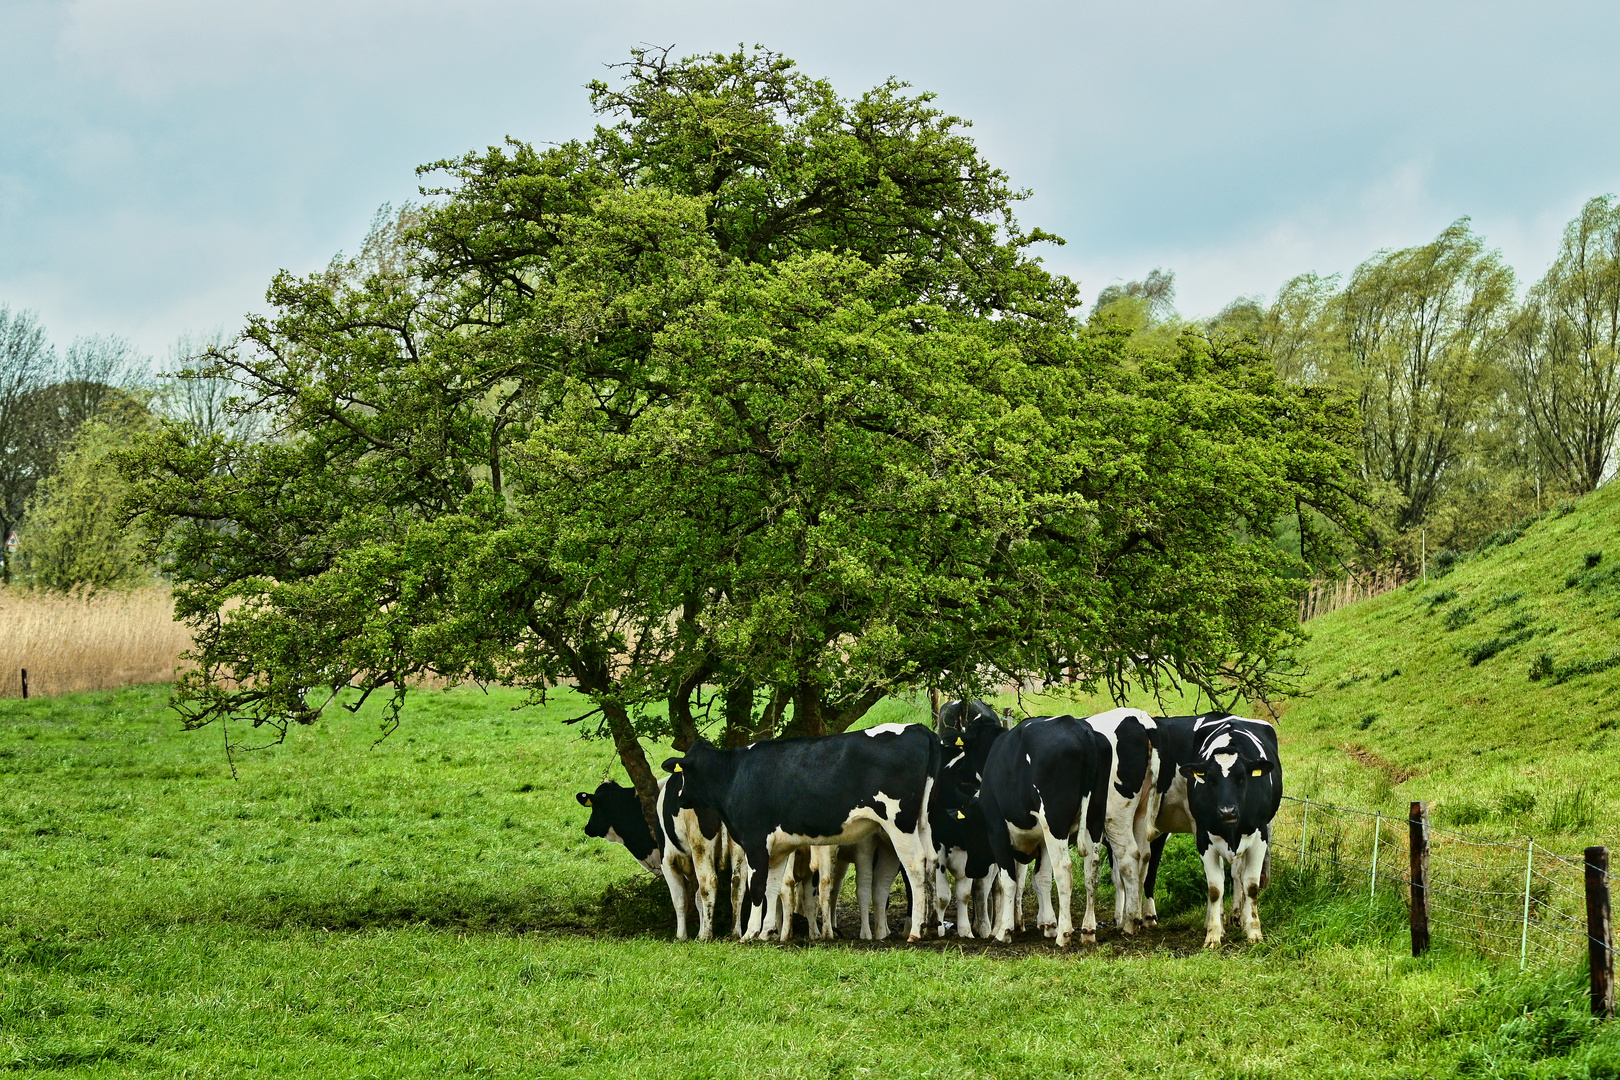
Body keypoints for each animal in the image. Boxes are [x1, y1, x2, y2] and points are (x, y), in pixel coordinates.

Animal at [657, 725, 939, 945]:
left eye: (683, 773)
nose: (678, 799)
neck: (735, 775)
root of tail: (918, 729)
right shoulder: (778, 849)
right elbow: (772, 887)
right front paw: (767, 932)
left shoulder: (755, 841)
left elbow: (756, 886)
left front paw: (750, 933)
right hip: (923, 824)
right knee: (932, 863)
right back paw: (930, 925)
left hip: (898, 824)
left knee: (916, 865)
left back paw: (916, 931)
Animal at [1146, 712, 1283, 952]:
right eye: (1211, 780)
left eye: (1242, 778)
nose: (1227, 811)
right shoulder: (1204, 838)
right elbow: (1215, 889)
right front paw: (1213, 934)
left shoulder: (1259, 837)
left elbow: (1252, 885)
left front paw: (1254, 932)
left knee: (1239, 875)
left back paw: (1240, 916)